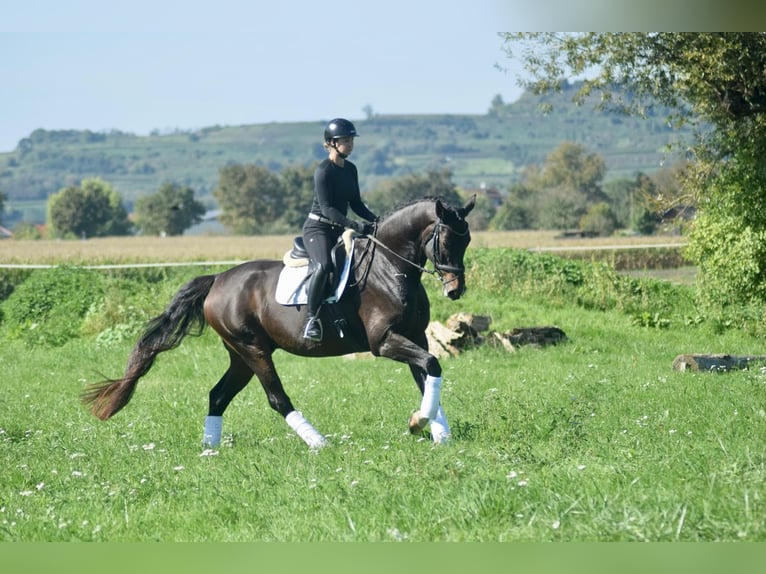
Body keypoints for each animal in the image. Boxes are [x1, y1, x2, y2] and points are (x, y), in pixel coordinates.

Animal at [81, 195, 476, 449]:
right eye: (446, 238)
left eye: (468, 238)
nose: (455, 289)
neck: (389, 269)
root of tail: (218, 280)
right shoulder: (385, 342)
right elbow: (431, 366)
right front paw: (419, 423)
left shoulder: (414, 337)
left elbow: (427, 375)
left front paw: (438, 432)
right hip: (253, 350)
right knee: (276, 398)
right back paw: (319, 442)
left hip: (240, 355)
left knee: (218, 395)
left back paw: (210, 449)